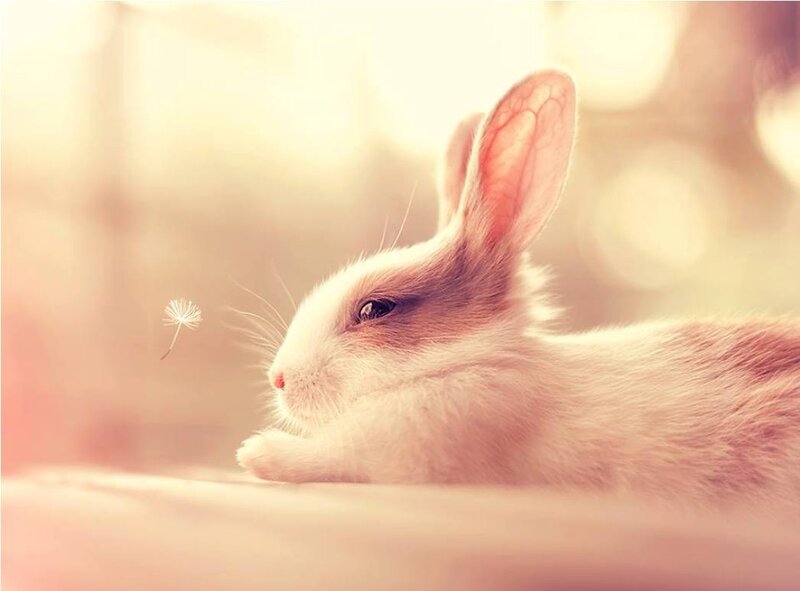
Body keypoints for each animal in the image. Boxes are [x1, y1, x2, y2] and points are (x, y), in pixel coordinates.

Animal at [237, 70, 800, 515]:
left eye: (375, 308)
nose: (278, 378)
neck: (471, 362)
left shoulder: (411, 451)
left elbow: (328, 459)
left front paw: (255, 452)